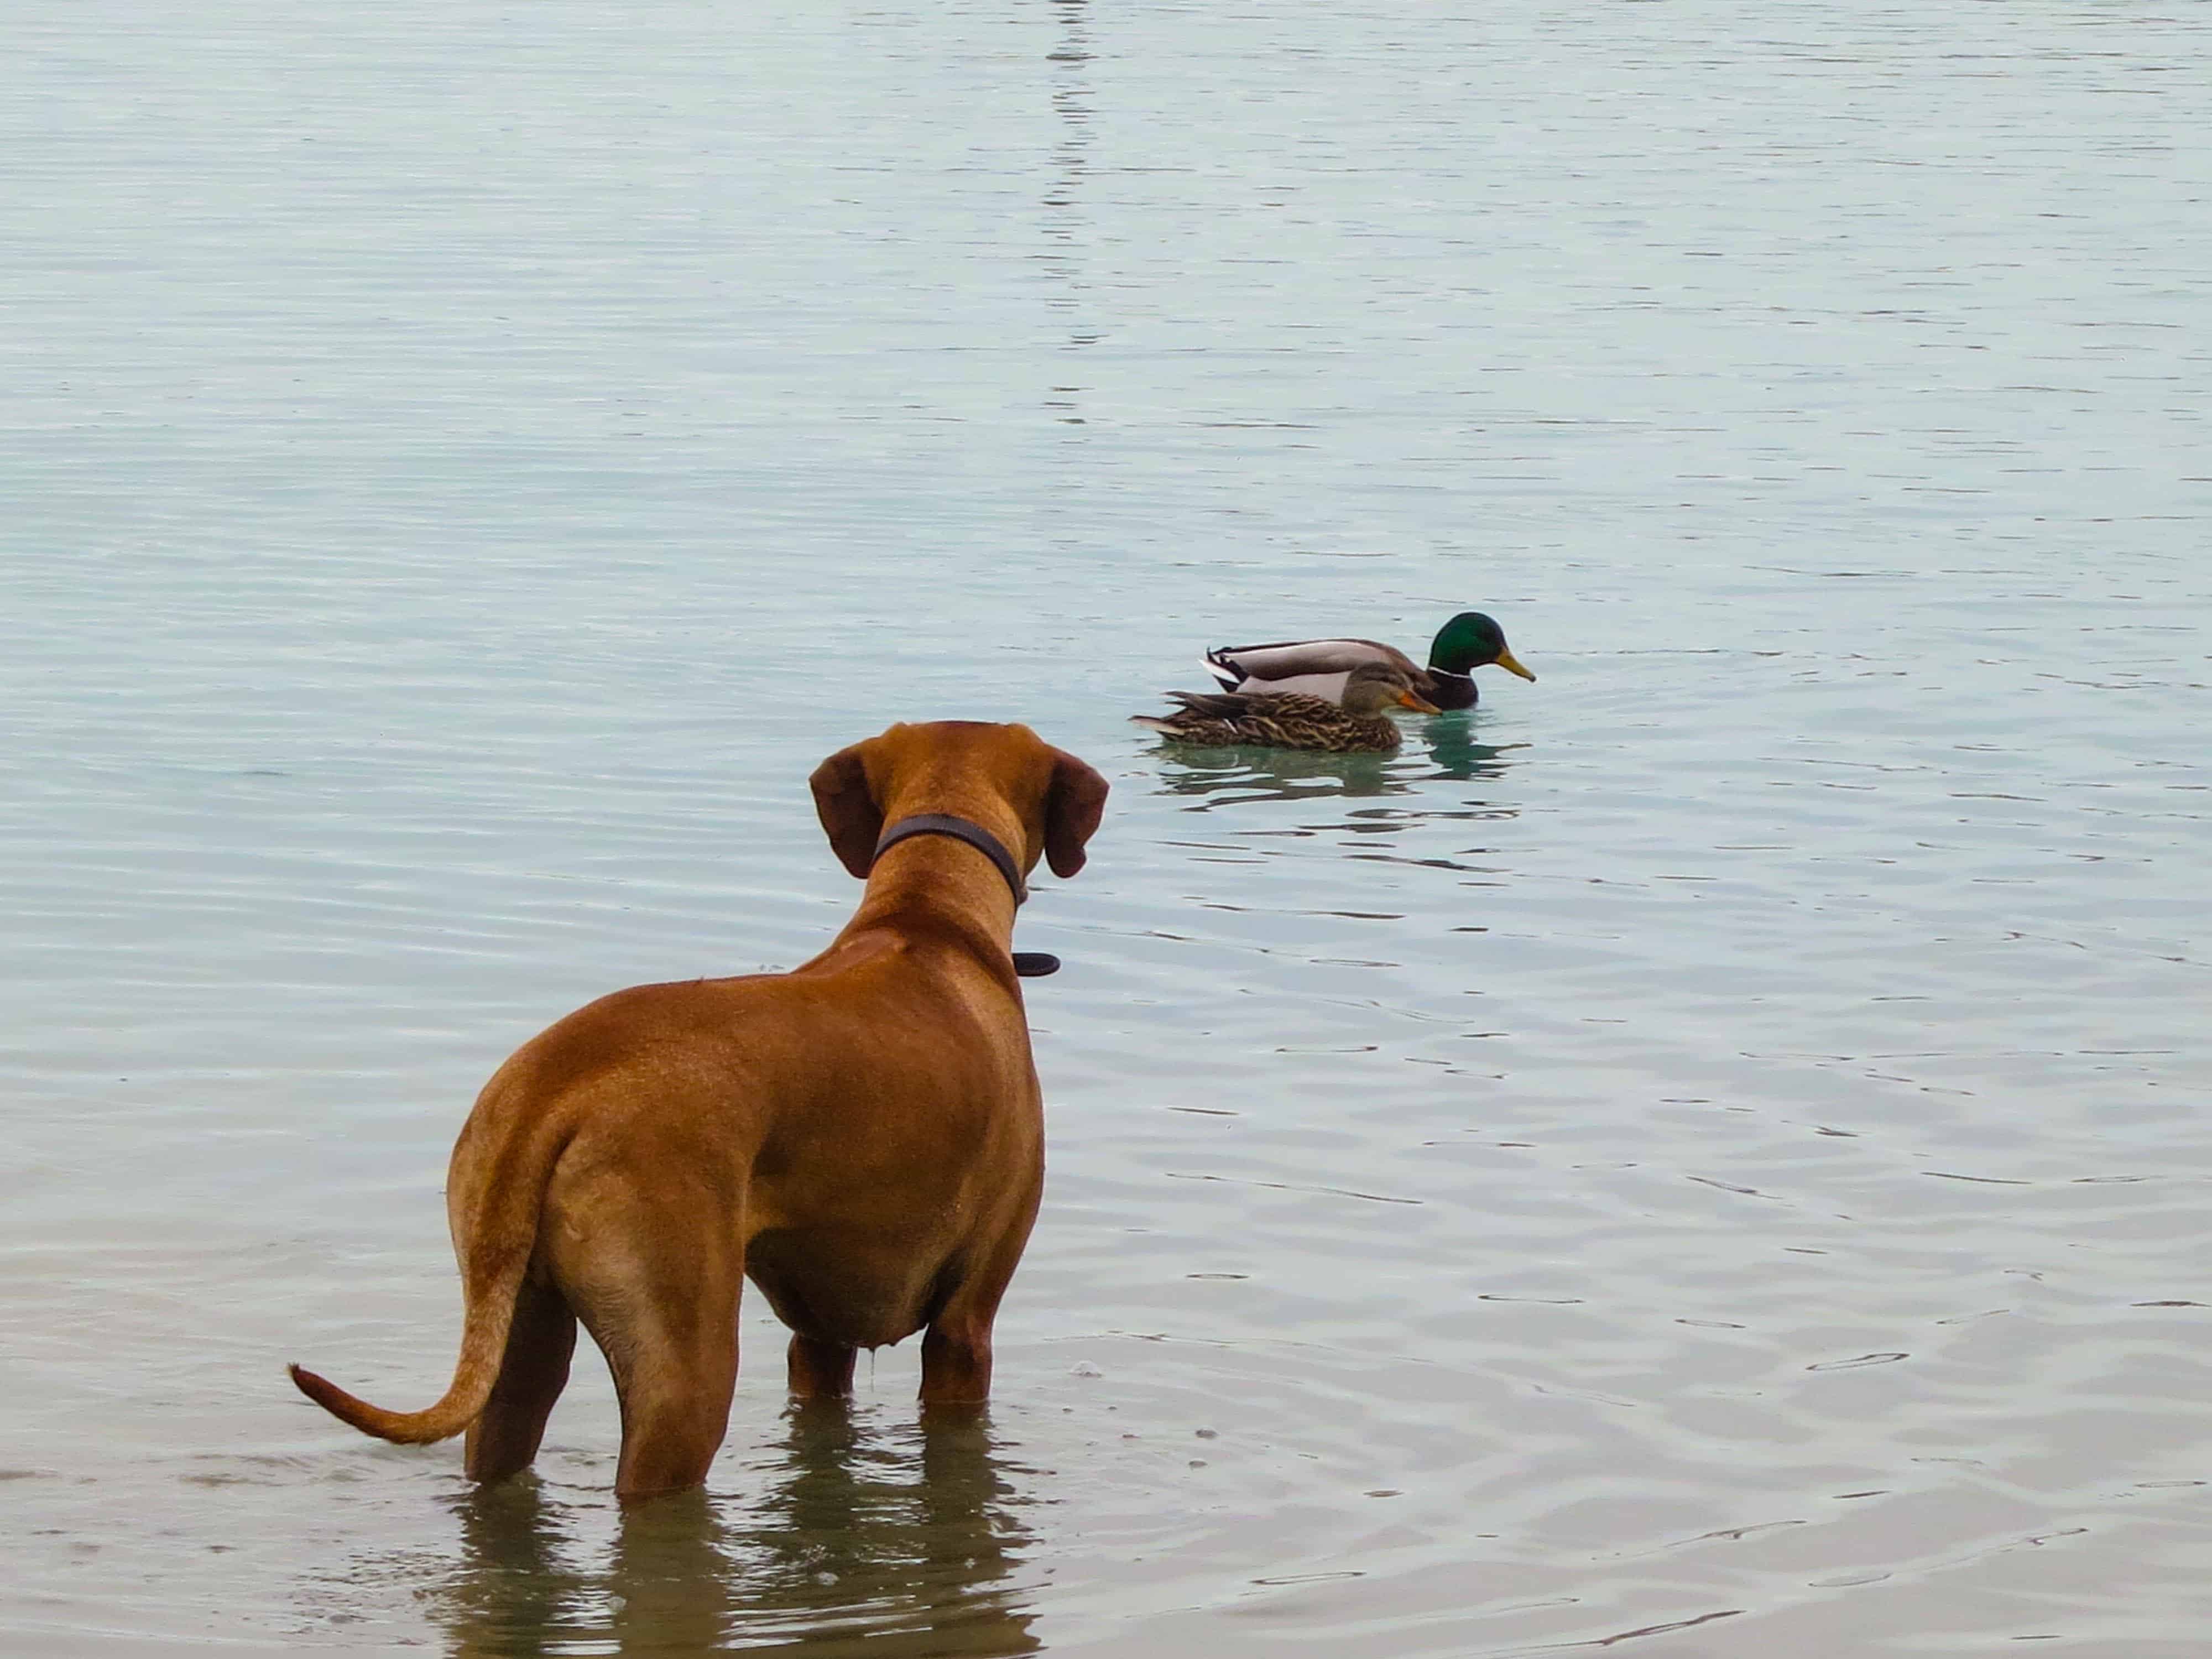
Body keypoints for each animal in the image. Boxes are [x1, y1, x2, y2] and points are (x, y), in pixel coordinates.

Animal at [290, 721, 1106, 1504]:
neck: (931, 908)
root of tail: (555, 1083)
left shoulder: (818, 1338)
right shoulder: (965, 1326)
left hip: (515, 1329)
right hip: (686, 1365)